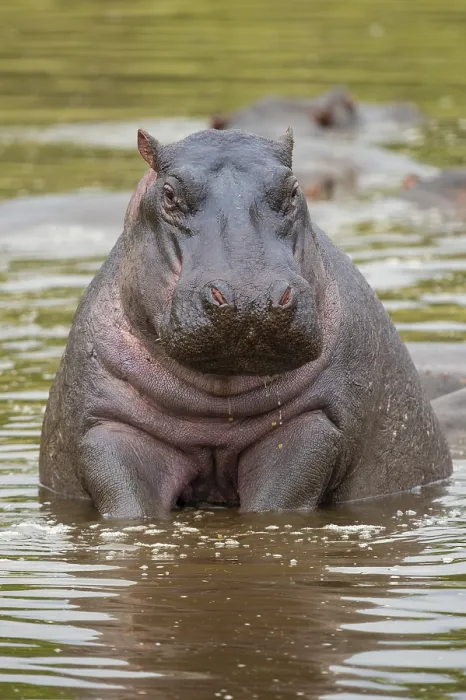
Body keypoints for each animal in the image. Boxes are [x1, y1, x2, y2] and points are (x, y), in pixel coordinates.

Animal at [39, 128, 452, 518]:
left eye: (293, 189)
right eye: (169, 193)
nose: (250, 297)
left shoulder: (312, 425)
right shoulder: (109, 429)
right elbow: (129, 503)